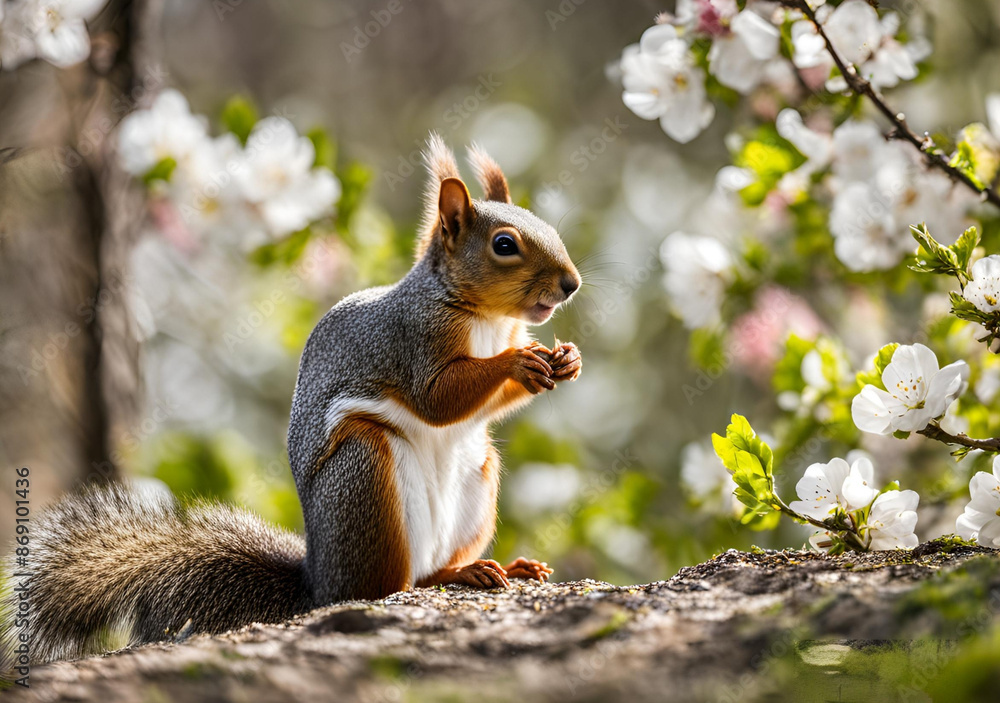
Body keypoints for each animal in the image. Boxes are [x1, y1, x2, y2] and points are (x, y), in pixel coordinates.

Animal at [0, 133, 582, 669]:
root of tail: (316, 579)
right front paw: (519, 362)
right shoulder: (413, 341)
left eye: (549, 228)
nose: (571, 284)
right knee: (381, 586)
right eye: (504, 245)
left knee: (432, 566)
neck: (484, 319)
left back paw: (493, 568)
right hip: (366, 476)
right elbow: (437, 398)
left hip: (478, 475)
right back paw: (435, 578)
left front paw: (566, 360)